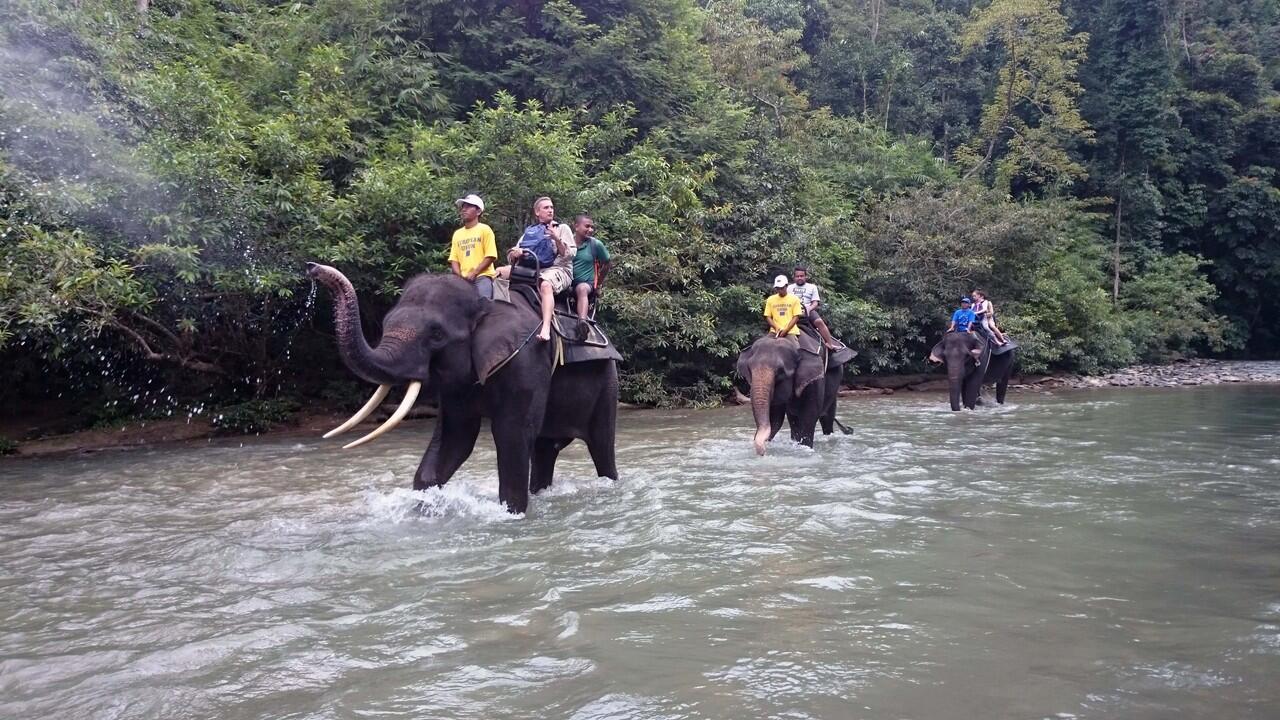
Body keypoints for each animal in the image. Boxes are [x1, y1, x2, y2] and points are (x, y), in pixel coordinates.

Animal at [304, 262, 614, 509]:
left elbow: (512, 433)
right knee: (545, 448)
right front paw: (425, 505)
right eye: (386, 322)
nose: (312, 267)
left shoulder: (526, 359)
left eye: (437, 335)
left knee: (600, 446)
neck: (483, 300)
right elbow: (456, 436)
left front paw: (512, 512)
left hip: (607, 382)